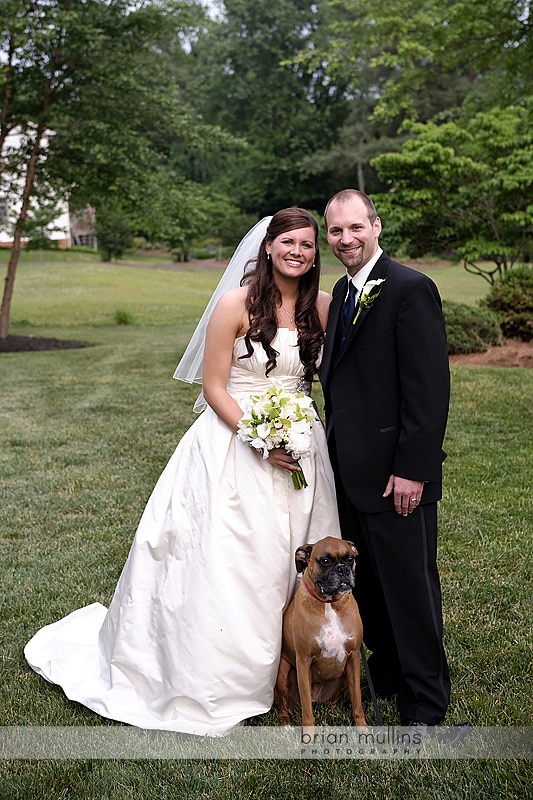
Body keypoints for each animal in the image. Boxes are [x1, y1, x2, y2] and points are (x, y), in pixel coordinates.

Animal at [274, 536, 366, 732]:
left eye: (350, 559)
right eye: (325, 561)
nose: (342, 569)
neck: (329, 604)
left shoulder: (353, 657)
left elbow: (357, 704)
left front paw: (365, 731)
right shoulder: (303, 660)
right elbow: (308, 714)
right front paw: (308, 737)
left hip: (346, 674)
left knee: (334, 700)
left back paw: (333, 711)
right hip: (283, 672)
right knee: (284, 706)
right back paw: (286, 724)